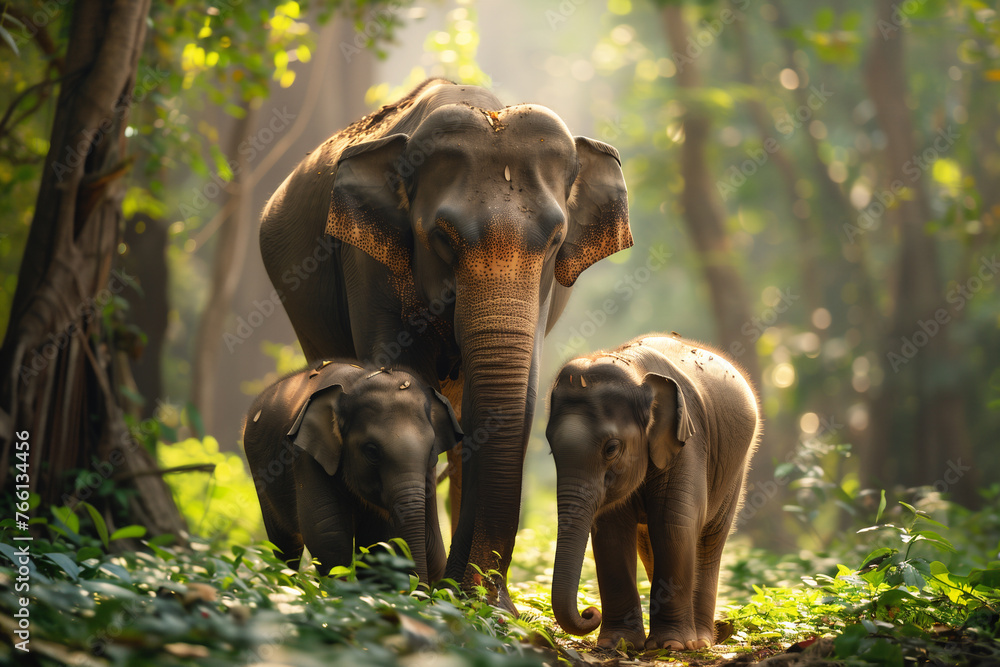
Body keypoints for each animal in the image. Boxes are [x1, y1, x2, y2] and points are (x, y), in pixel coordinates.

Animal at [242, 360, 462, 584]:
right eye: (372, 451)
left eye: (431, 448)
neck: (355, 381)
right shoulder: (306, 455)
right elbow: (327, 534)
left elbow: (384, 542)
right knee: (285, 545)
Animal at [545, 333, 760, 650]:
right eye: (551, 450)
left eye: (611, 448)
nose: (589, 612)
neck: (634, 370)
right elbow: (611, 531)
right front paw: (617, 644)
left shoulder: (688, 442)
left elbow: (674, 524)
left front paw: (671, 646)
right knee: (649, 542)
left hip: (736, 468)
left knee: (710, 538)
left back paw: (701, 641)